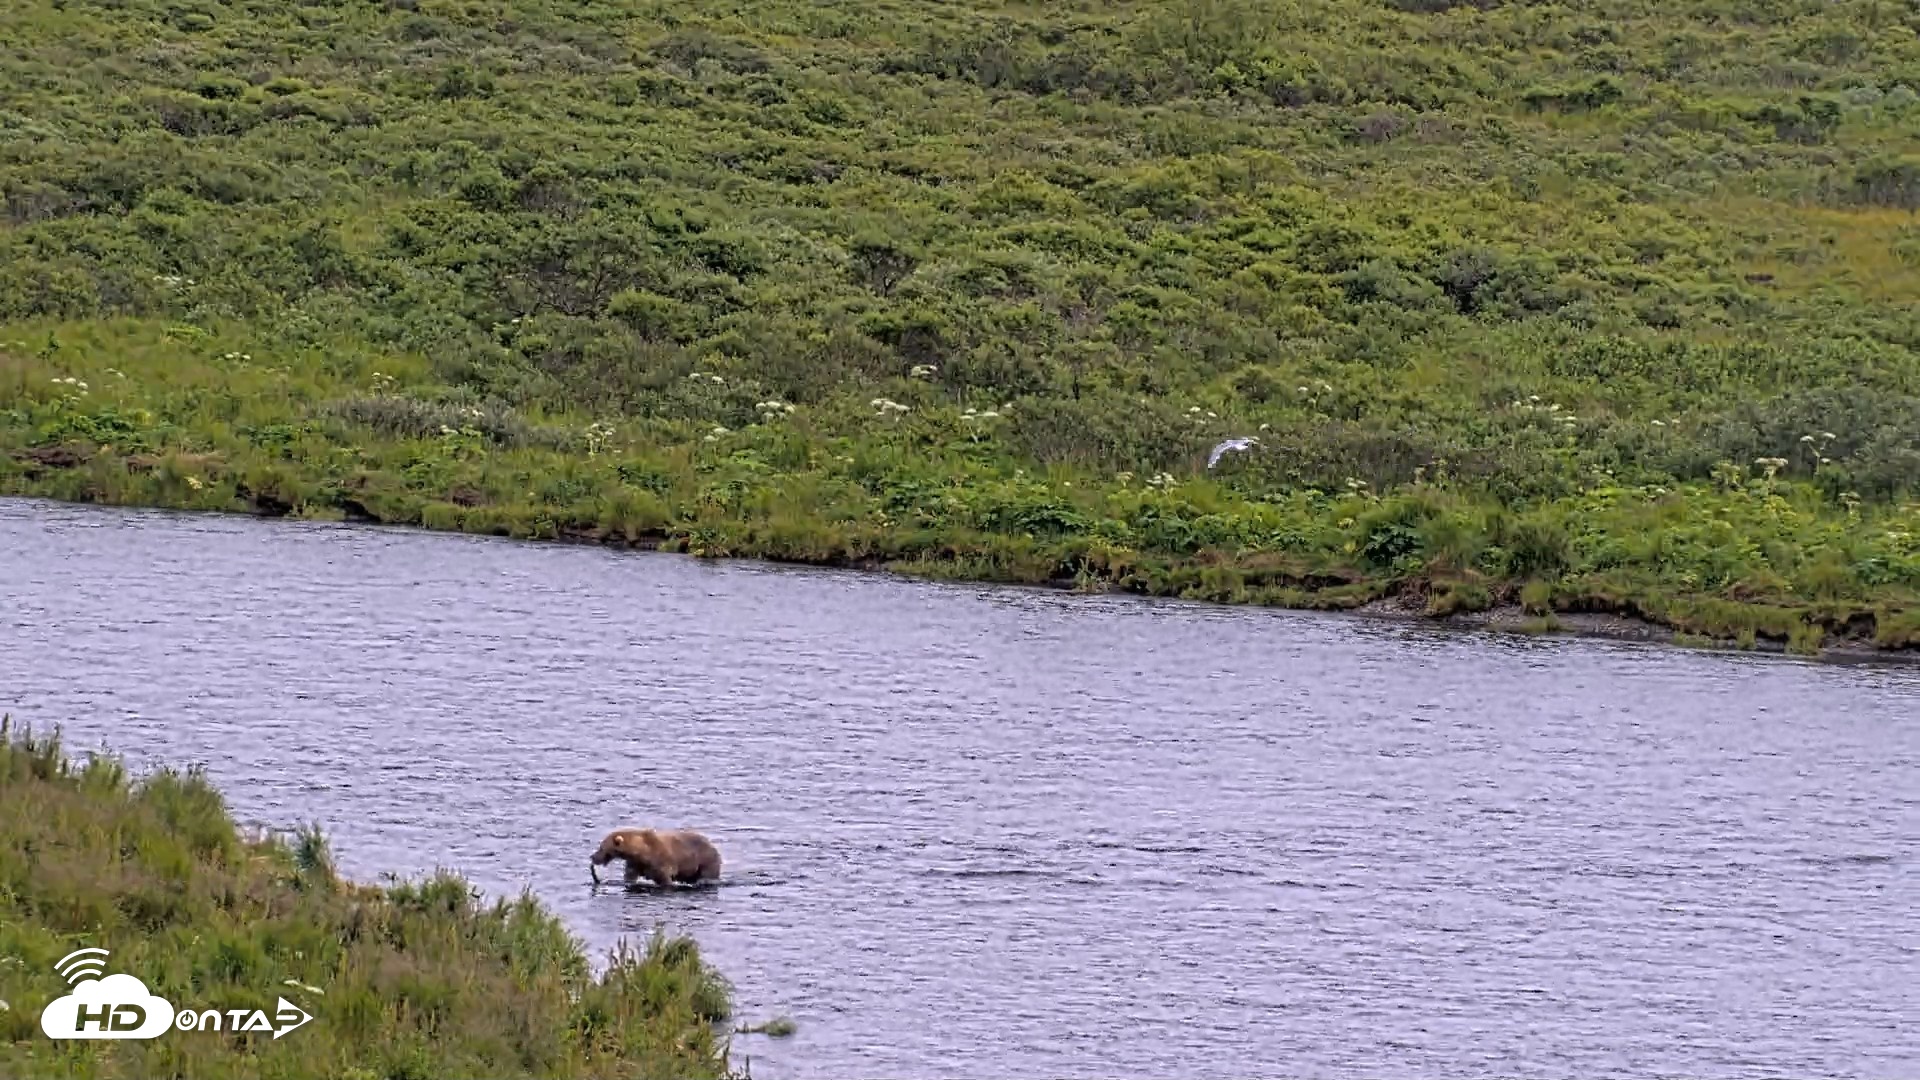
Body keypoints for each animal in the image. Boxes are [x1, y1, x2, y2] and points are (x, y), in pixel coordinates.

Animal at [590, 827, 723, 888]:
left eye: (601, 847)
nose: (592, 856)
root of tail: (712, 844)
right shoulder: (635, 863)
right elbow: (630, 876)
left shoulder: (661, 861)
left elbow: (664, 878)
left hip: (706, 859)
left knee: (707, 874)